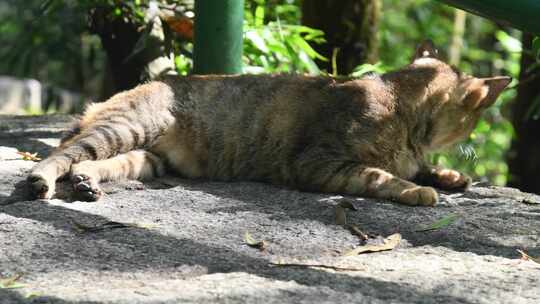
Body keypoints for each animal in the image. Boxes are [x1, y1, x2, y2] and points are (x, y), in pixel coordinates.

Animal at [27, 41, 510, 207]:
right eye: (477, 118)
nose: (475, 136)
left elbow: (421, 167)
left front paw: (450, 175)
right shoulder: (318, 163)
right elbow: (382, 176)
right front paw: (420, 190)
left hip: (145, 157)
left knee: (87, 163)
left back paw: (87, 184)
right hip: (126, 128)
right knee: (60, 155)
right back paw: (41, 182)